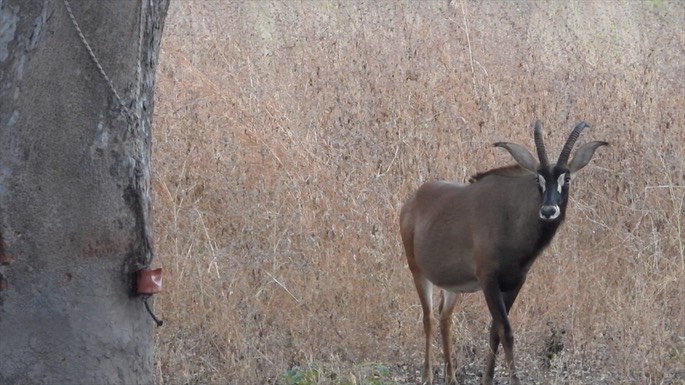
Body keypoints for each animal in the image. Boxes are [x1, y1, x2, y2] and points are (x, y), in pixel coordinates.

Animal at [398, 121, 608, 384]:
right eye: (538, 178)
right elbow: (506, 331)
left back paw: (452, 376)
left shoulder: (515, 282)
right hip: (417, 271)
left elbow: (495, 331)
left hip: (451, 284)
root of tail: (413, 200)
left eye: (567, 177)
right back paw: (427, 375)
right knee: (428, 318)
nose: (549, 210)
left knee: (444, 317)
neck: (512, 217)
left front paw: (487, 379)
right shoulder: (489, 280)